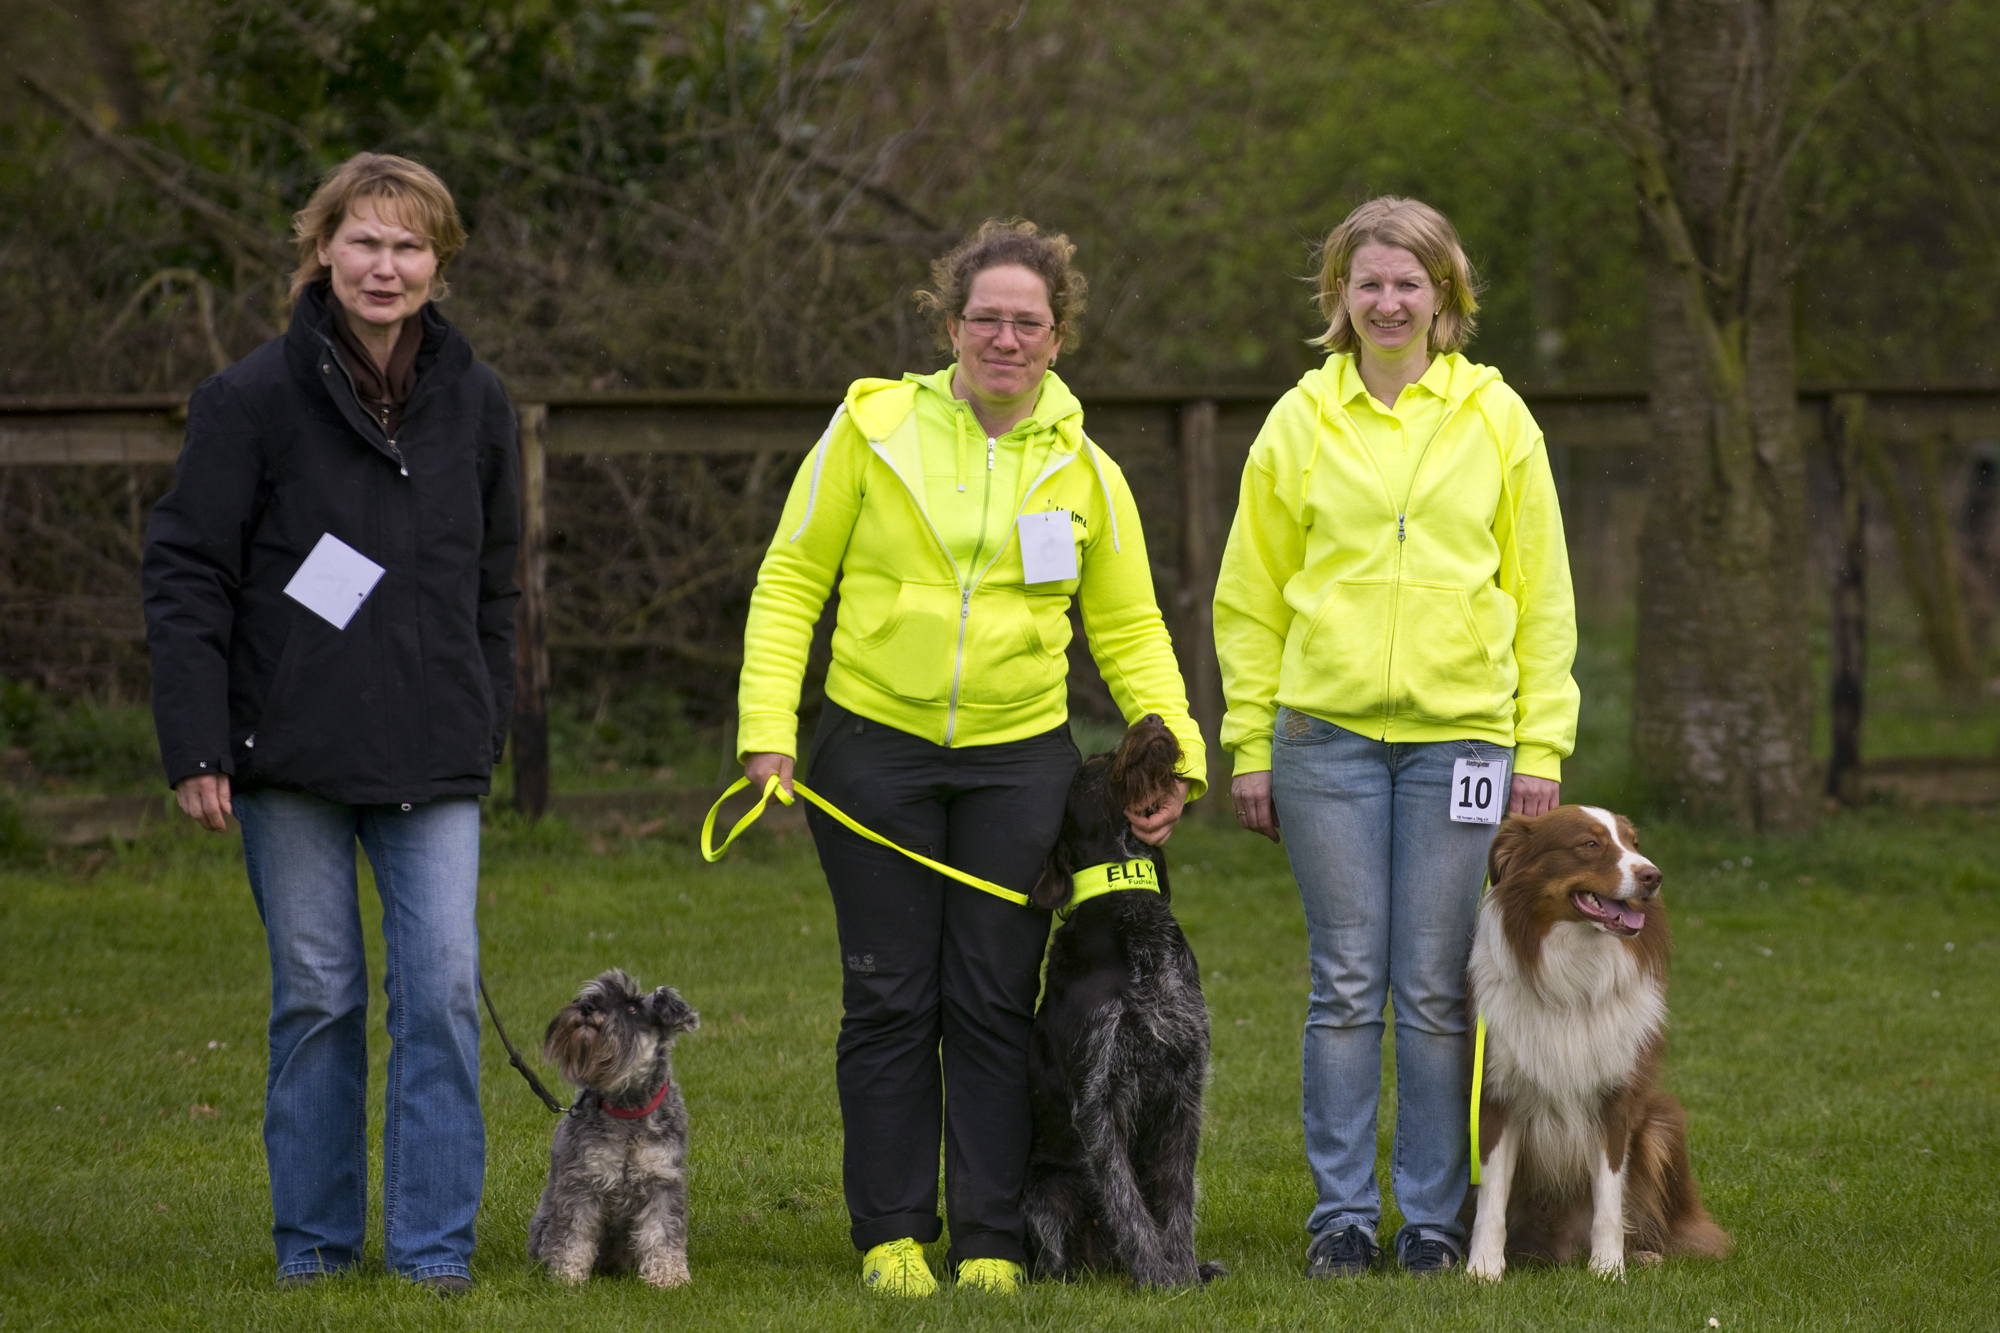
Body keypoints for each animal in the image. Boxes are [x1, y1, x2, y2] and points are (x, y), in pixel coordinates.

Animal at [528, 964, 700, 1288]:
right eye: (589, 996)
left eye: (632, 1007)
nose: (586, 1007)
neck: (627, 1108)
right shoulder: (582, 1181)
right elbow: (573, 1234)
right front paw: (568, 1276)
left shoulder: (662, 1180)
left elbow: (662, 1233)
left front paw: (670, 1277)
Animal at [1032, 716, 1216, 1288]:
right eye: (1094, 764)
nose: (1154, 719)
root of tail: (1102, 1266)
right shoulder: (1098, 1097)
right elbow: (1126, 1201)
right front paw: (1159, 1277)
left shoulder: (1186, 1082)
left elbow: (1175, 1195)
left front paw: (1184, 1271)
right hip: (1046, 1195)